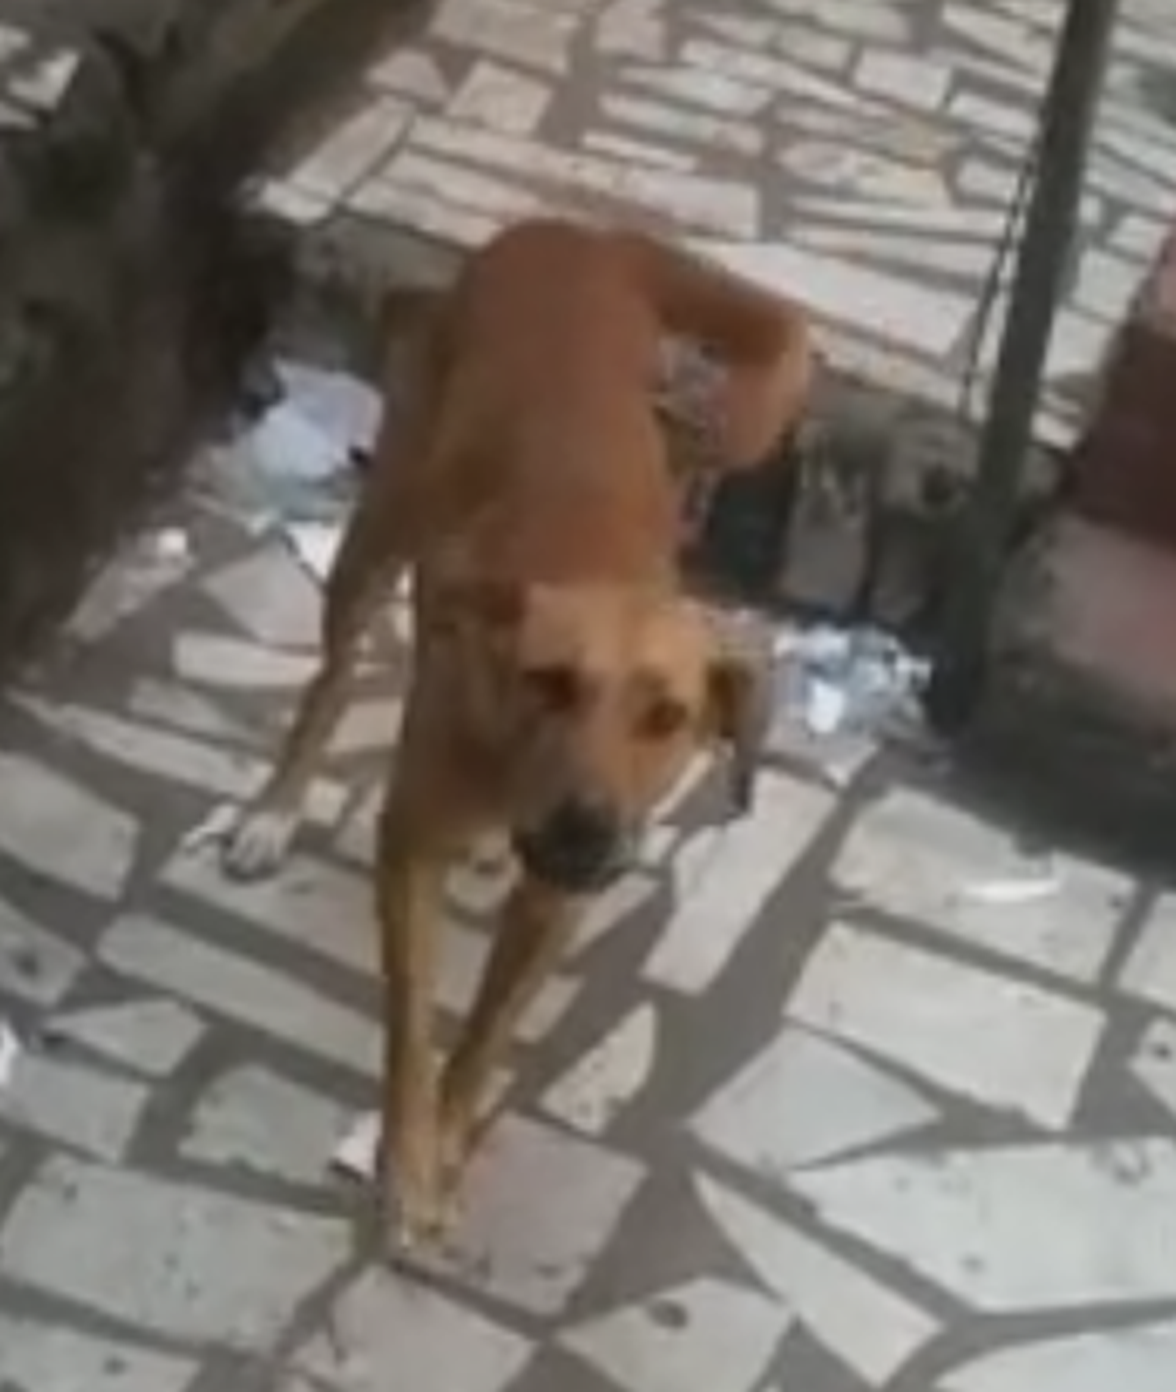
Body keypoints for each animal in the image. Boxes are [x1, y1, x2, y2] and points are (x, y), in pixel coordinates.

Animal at [221, 217, 813, 1249]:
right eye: (550, 683)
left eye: (668, 717)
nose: (584, 831)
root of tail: (582, 233)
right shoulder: (411, 849)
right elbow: (414, 1024)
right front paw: (405, 1162)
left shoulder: (556, 905)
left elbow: (486, 1035)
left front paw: (448, 1151)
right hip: (378, 531)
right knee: (332, 679)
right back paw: (275, 810)